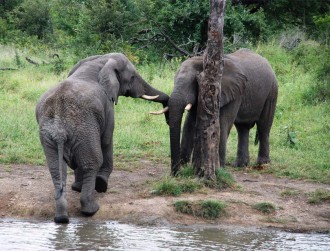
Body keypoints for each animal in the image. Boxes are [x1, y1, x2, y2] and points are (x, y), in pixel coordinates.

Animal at [36, 52, 169, 222]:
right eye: (132, 76)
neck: (100, 60)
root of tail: (59, 126)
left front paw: (77, 188)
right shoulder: (108, 104)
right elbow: (107, 139)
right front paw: (101, 184)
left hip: (50, 135)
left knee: (57, 168)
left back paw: (62, 218)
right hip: (83, 128)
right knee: (92, 162)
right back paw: (91, 208)